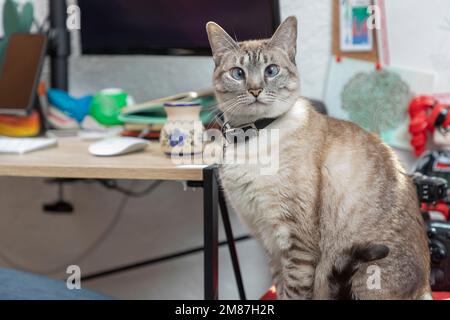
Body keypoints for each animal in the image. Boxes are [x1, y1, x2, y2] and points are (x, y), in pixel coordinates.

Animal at [206, 15, 430, 300]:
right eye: (238, 73)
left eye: (271, 70)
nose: (255, 90)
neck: (252, 136)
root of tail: (426, 287)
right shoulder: (268, 241)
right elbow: (279, 289)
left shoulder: (294, 241)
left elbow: (293, 293)